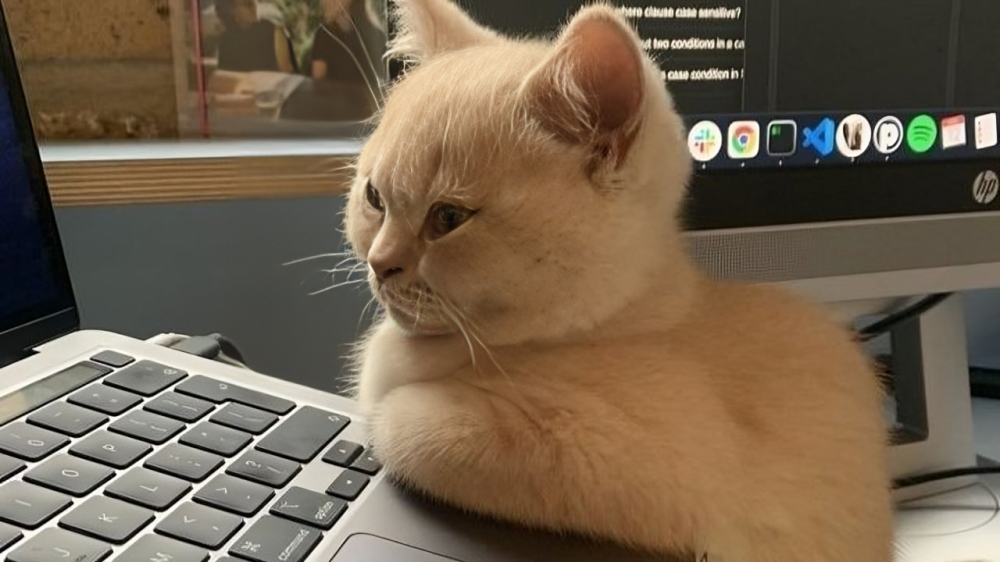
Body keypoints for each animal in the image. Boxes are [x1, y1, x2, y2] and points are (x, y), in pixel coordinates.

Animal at [340, 1, 896, 556]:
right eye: (374, 198)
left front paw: (387, 411)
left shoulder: (652, 468)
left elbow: (410, 427)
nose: (380, 262)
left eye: (449, 218)